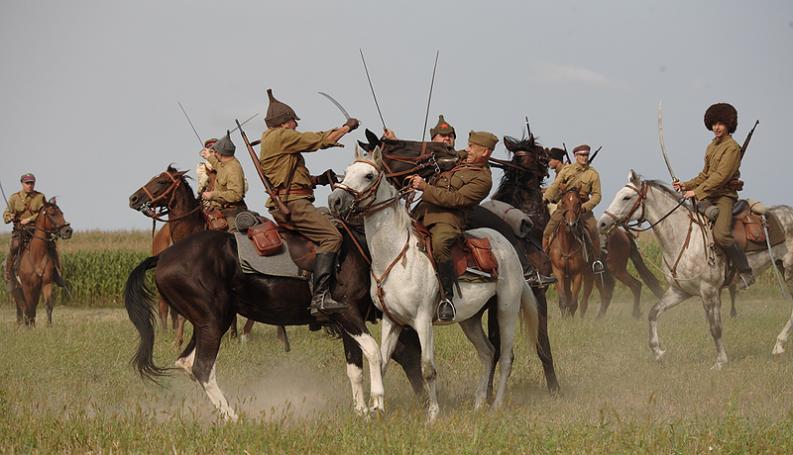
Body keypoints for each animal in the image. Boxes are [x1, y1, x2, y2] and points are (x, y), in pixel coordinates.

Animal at [7, 200, 72, 328]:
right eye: (52, 213)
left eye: (61, 213)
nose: (68, 231)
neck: (37, 255)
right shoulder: (27, 286)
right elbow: (29, 308)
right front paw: (30, 327)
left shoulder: (46, 283)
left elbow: (48, 305)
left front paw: (49, 326)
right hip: (17, 288)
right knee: (21, 306)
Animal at [326, 151, 540, 424]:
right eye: (346, 172)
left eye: (369, 175)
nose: (335, 200)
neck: (395, 255)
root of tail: (508, 246)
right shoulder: (391, 321)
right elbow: (382, 362)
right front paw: (376, 408)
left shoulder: (422, 320)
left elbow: (427, 368)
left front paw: (432, 415)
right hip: (470, 319)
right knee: (487, 352)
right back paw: (479, 403)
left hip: (506, 310)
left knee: (505, 358)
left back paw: (496, 405)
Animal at [596, 170, 792, 366]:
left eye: (626, 197)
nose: (602, 224)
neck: (683, 237)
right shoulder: (679, 291)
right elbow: (653, 313)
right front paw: (658, 352)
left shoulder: (709, 291)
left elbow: (715, 328)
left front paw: (721, 361)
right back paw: (779, 345)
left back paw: (779, 344)